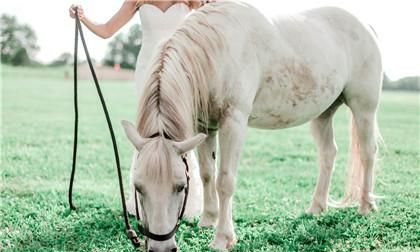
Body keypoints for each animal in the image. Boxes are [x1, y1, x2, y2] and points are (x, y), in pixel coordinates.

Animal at [120, 1, 380, 250]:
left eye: (180, 187)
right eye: (138, 187)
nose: (160, 247)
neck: (216, 51)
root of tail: (366, 26)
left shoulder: (233, 121)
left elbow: (225, 180)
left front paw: (222, 238)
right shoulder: (205, 127)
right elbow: (207, 174)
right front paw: (208, 220)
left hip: (364, 108)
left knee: (368, 152)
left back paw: (366, 205)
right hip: (323, 113)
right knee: (328, 154)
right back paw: (317, 207)